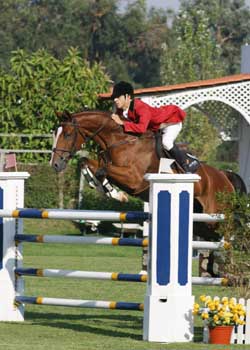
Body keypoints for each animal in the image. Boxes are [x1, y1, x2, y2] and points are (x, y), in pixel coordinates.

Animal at [50, 109, 240, 219]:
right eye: (55, 132)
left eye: (67, 134)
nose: (55, 165)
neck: (119, 141)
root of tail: (225, 176)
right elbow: (86, 163)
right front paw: (105, 190)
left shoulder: (134, 179)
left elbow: (103, 170)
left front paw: (115, 193)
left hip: (215, 212)